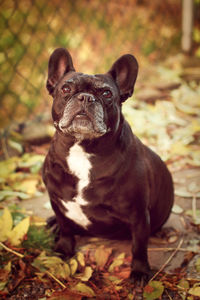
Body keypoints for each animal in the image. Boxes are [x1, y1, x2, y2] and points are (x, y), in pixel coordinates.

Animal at [42, 47, 173, 284]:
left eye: (106, 94)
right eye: (66, 89)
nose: (85, 97)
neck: (83, 149)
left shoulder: (138, 215)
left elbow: (139, 246)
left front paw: (140, 271)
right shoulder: (57, 201)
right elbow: (66, 228)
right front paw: (63, 249)